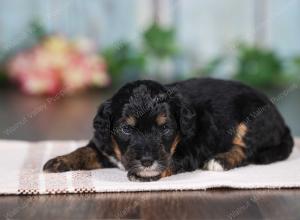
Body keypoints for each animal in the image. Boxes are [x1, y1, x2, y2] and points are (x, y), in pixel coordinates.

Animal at [43, 78, 294, 181]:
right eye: (126, 129)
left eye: (165, 128)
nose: (146, 162)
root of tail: (282, 122)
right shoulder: (103, 143)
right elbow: (84, 150)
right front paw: (59, 161)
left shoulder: (190, 150)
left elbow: (172, 160)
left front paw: (146, 173)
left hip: (251, 119)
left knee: (247, 150)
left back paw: (220, 160)